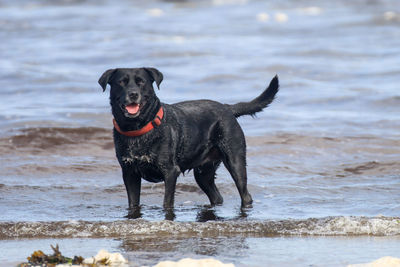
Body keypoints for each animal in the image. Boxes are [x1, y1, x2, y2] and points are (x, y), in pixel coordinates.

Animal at [98, 68, 278, 213]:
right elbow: (133, 203)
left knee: (245, 194)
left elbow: (167, 203)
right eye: (121, 82)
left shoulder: (170, 172)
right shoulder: (129, 173)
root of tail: (227, 107)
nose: (133, 94)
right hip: (203, 172)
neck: (138, 129)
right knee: (216, 196)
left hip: (235, 161)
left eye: (141, 82)